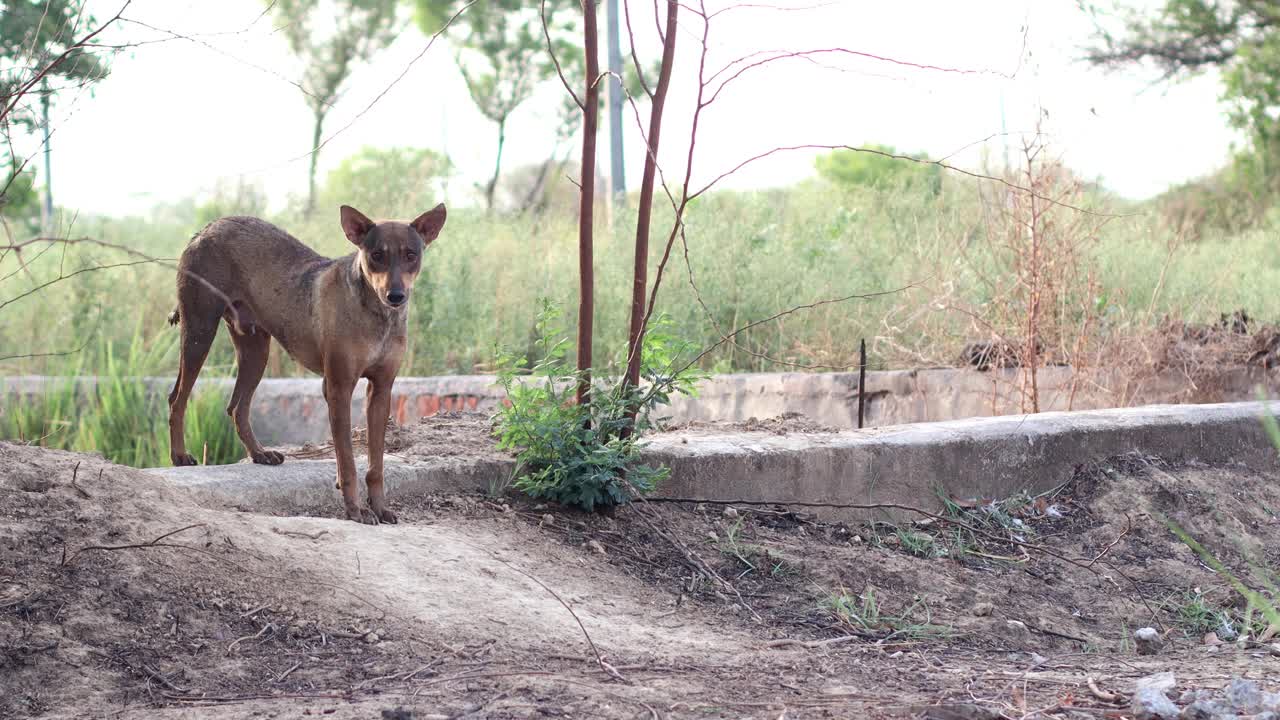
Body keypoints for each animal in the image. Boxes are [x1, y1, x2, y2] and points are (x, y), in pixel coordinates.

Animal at [165, 202, 448, 520]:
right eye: (376, 255)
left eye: (411, 255)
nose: (395, 296)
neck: (376, 314)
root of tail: (206, 229)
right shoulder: (338, 388)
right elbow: (347, 461)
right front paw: (355, 509)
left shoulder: (381, 390)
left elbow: (376, 464)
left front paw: (379, 507)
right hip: (199, 333)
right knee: (177, 399)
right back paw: (179, 456)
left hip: (255, 350)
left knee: (237, 407)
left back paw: (259, 453)